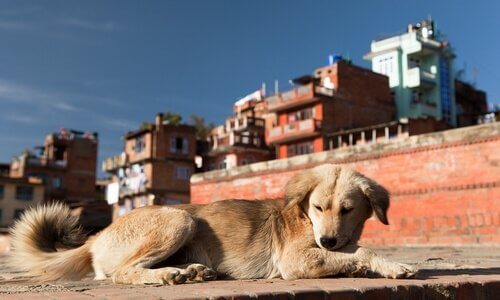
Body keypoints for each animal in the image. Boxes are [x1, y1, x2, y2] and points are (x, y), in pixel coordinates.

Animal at [10, 164, 418, 284]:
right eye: (318, 207)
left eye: (347, 209)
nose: (328, 241)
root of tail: (95, 239)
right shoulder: (295, 261)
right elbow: (361, 251)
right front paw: (385, 265)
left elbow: (359, 249)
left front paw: (388, 263)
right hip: (177, 219)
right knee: (122, 274)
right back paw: (169, 276)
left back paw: (192, 270)